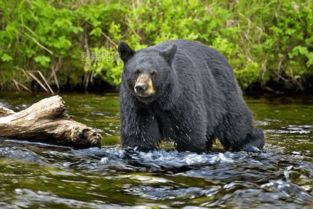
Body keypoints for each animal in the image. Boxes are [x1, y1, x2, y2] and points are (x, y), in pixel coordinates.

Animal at [117, 40, 264, 153]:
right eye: (136, 71)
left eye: (153, 72)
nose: (141, 87)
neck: (158, 101)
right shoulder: (137, 106)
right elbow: (138, 134)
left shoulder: (182, 99)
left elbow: (190, 131)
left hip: (223, 95)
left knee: (236, 124)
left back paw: (252, 142)